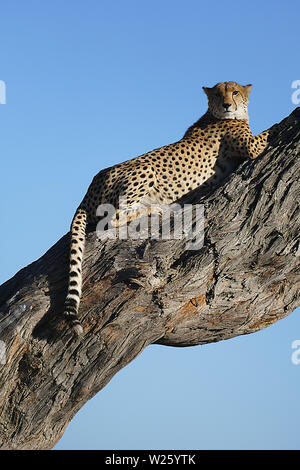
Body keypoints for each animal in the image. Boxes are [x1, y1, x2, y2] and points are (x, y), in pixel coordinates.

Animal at [64, 82, 270, 336]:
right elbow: (267, 133)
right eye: (217, 94)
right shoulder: (252, 147)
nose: (226, 105)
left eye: (235, 92)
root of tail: (90, 187)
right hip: (144, 169)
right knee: (114, 217)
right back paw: (154, 209)